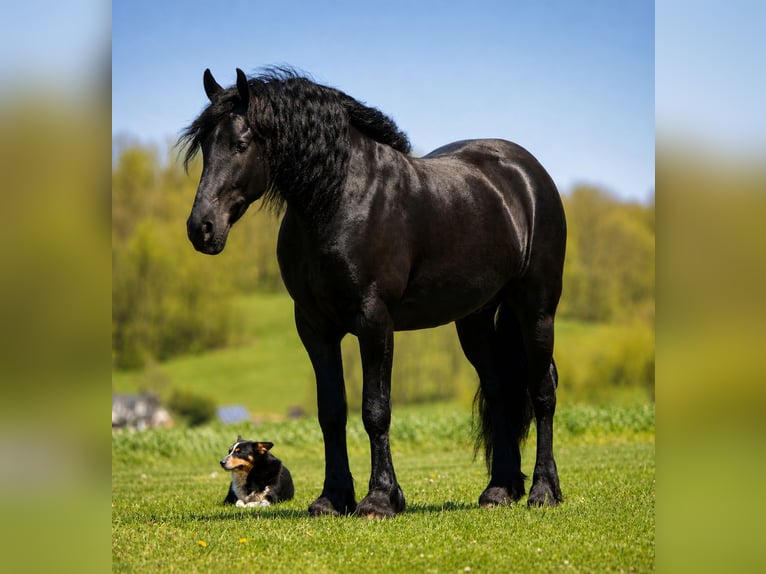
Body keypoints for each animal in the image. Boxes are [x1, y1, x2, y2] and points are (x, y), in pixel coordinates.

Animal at [181, 67, 566, 518]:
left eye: (241, 144)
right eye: (206, 146)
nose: (201, 228)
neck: (342, 200)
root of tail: (528, 174)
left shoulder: (374, 321)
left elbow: (375, 410)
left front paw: (380, 498)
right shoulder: (314, 327)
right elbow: (331, 412)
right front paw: (332, 498)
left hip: (536, 309)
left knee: (542, 391)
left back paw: (543, 491)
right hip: (475, 320)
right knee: (500, 389)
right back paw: (500, 490)